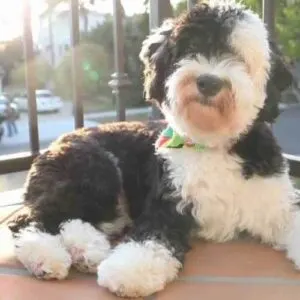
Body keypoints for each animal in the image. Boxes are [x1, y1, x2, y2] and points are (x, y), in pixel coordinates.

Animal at [7, 0, 298, 298]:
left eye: (239, 57)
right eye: (190, 48)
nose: (208, 82)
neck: (210, 143)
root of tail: (52, 147)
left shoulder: (277, 203)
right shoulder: (165, 205)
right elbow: (150, 240)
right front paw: (129, 271)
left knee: (73, 220)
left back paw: (85, 250)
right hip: (95, 171)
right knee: (28, 219)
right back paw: (47, 256)